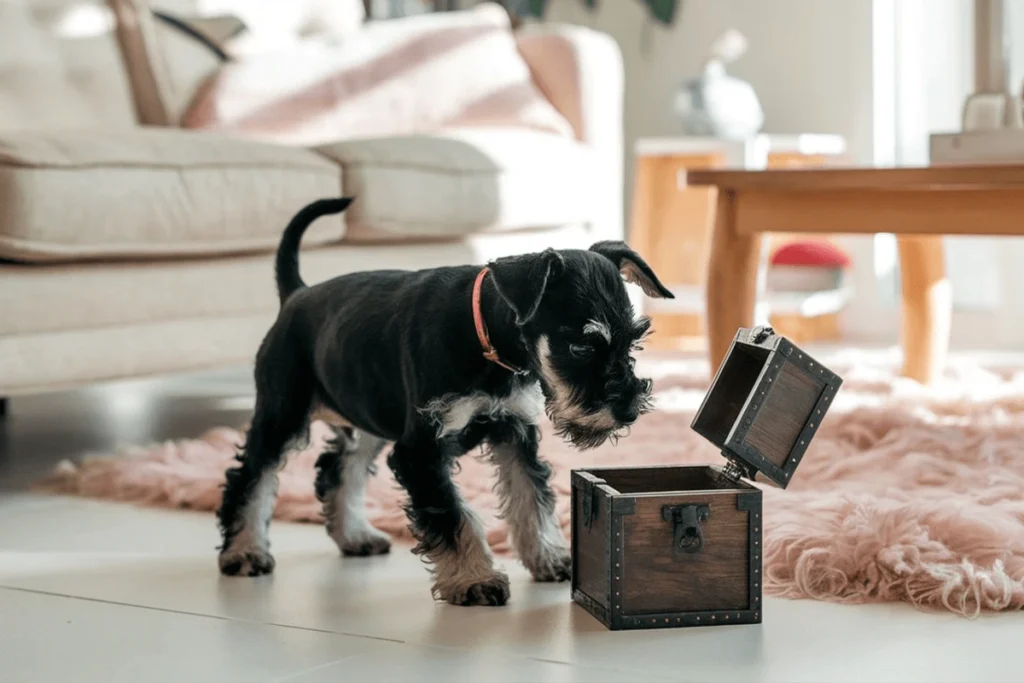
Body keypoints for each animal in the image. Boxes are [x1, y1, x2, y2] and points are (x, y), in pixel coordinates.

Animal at [218, 196, 671, 602]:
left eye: (634, 341)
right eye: (580, 345)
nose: (629, 410)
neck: (486, 337)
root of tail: (296, 295)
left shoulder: (515, 432)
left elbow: (531, 497)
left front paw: (551, 557)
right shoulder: (421, 449)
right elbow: (455, 515)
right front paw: (475, 579)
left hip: (369, 417)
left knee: (338, 469)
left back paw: (355, 536)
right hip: (282, 413)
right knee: (250, 477)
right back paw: (245, 552)